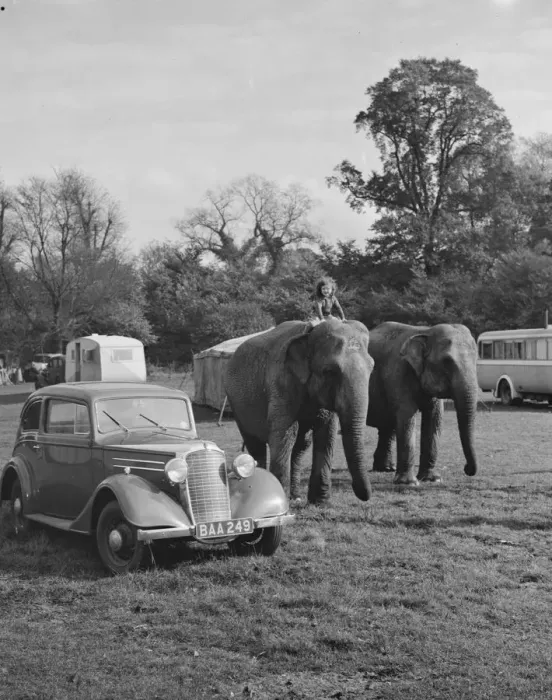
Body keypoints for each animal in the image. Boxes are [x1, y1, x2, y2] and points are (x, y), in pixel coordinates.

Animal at [224, 318, 374, 505]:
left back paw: (296, 497)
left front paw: (321, 502)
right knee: (255, 445)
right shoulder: (281, 383)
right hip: (236, 404)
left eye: (372, 368)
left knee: (302, 445)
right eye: (330, 371)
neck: (310, 333)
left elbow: (326, 434)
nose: (361, 493)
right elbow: (285, 435)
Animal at [366, 322, 479, 486]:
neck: (425, 331)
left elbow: (434, 418)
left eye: (477, 358)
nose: (467, 469)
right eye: (446, 361)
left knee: (388, 425)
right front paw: (409, 483)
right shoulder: (398, 372)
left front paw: (433, 479)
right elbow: (406, 416)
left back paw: (386, 469)